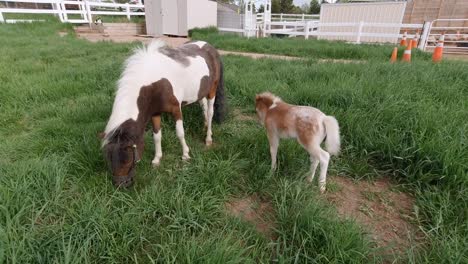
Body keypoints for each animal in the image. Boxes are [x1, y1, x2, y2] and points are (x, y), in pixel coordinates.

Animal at [101, 40, 226, 187]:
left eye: (128, 159)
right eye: (108, 158)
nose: (121, 185)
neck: (154, 82)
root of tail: (210, 47)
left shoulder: (176, 109)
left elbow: (180, 133)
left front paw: (185, 155)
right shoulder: (155, 113)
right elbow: (157, 136)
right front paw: (157, 159)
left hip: (212, 90)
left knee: (210, 112)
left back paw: (208, 138)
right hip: (200, 92)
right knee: (204, 107)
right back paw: (205, 126)